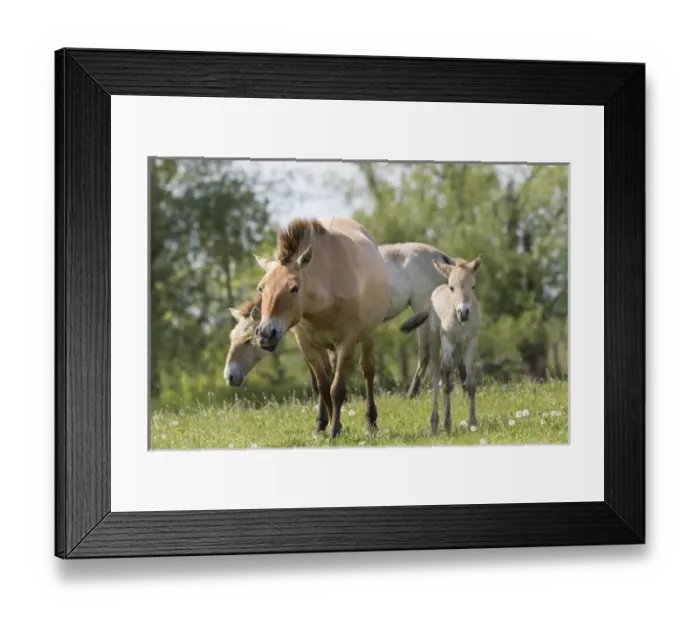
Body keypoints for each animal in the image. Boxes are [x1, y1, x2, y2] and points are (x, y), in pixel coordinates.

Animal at [253, 217, 391, 438]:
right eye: (261, 288)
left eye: (294, 288)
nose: (266, 334)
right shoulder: (308, 346)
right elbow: (324, 386)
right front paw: (335, 426)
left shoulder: (347, 343)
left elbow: (337, 389)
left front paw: (334, 430)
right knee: (327, 375)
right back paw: (321, 423)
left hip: (368, 335)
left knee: (368, 371)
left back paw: (371, 422)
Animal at [400, 255, 482, 435]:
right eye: (452, 288)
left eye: (473, 286)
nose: (464, 313)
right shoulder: (447, 340)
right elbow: (445, 382)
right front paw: (445, 423)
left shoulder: (471, 342)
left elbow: (470, 383)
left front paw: (473, 423)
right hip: (435, 344)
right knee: (438, 377)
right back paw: (436, 423)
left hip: (458, 351)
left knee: (447, 377)